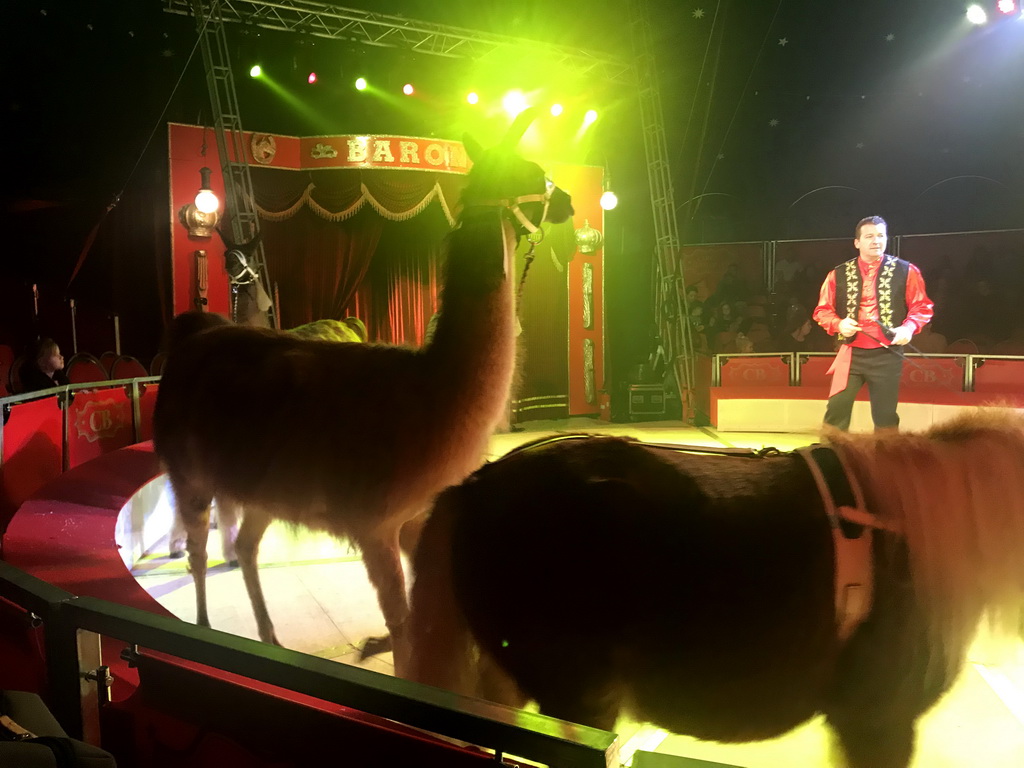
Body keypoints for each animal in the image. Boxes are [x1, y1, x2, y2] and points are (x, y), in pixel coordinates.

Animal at [150, 109, 573, 663]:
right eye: (533, 171)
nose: (568, 201)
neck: (433, 391)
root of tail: (193, 331)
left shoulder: (416, 517)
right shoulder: (376, 524)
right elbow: (403, 627)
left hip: (262, 485)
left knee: (244, 547)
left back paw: (271, 638)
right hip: (190, 472)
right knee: (199, 552)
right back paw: (202, 629)